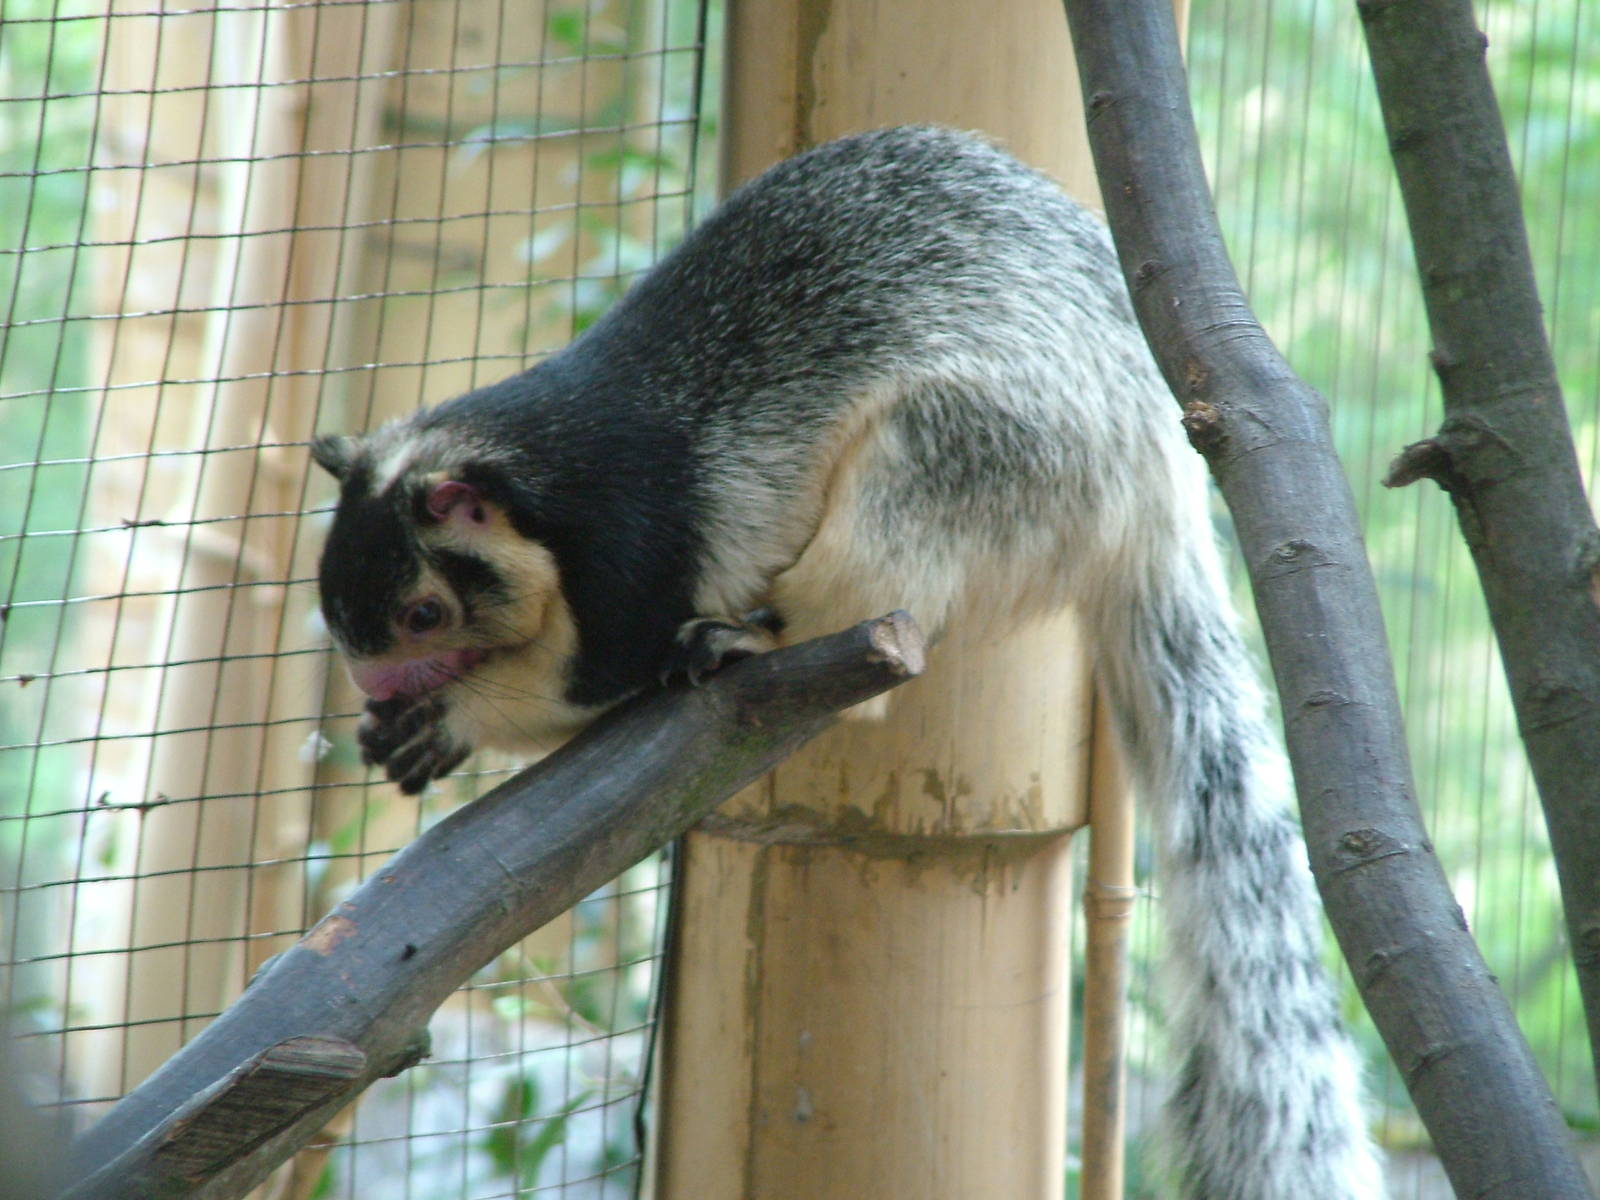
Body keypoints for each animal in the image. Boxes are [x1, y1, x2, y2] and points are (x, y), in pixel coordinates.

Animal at [312, 125, 1382, 1199]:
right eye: (330, 597)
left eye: (423, 611)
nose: (373, 682)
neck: (542, 468)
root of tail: (1158, 490)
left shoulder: (632, 552)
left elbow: (589, 679)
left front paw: (446, 718)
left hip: (961, 460)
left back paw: (753, 638)